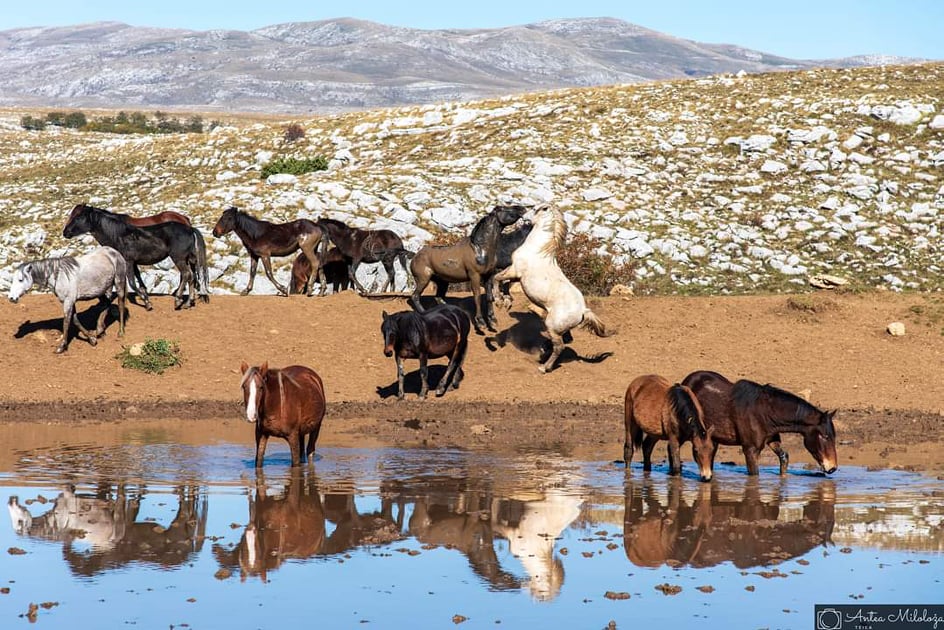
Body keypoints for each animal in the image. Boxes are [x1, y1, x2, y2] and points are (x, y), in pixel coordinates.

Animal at [63, 205, 210, 312]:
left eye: (78, 217)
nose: (65, 232)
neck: (118, 235)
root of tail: (190, 228)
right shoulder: (133, 263)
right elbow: (137, 280)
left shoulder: (128, 262)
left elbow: (132, 283)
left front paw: (147, 302)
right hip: (189, 259)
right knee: (192, 277)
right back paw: (188, 302)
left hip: (178, 258)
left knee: (186, 274)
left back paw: (178, 299)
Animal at [412, 207, 532, 336]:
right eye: (503, 208)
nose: (522, 209)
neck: (480, 249)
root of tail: (415, 257)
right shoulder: (475, 276)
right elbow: (477, 297)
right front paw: (481, 323)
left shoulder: (489, 276)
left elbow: (489, 297)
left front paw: (492, 320)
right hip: (423, 280)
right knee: (415, 296)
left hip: (442, 282)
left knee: (438, 298)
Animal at [490, 205, 616, 372]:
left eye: (535, 209)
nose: (523, 214)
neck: (538, 250)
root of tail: (583, 311)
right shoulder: (516, 275)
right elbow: (504, 283)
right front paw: (507, 301)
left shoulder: (515, 270)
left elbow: (496, 278)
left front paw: (499, 301)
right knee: (566, 340)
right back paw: (544, 351)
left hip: (552, 326)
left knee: (560, 346)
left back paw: (544, 367)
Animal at [680, 370, 840, 478]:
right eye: (825, 436)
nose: (832, 468)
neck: (764, 412)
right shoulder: (750, 449)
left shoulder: (771, 439)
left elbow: (784, 457)